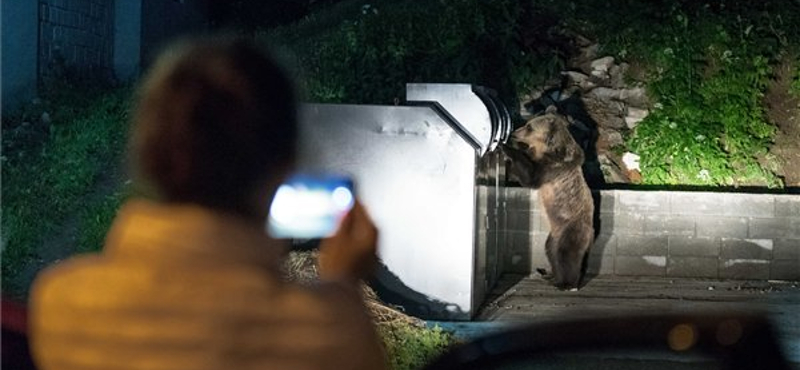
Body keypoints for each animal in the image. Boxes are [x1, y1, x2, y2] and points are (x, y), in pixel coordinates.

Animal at [504, 105, 592, 290]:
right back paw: (552, 276)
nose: (514, 133)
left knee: (567, 254)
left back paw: (567, 284)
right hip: (554, 234)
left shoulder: (552, 168)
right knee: (551, 251)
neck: (546, 149)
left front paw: (506, 147)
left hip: (572, 228)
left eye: (529, 127)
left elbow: (530, 176)